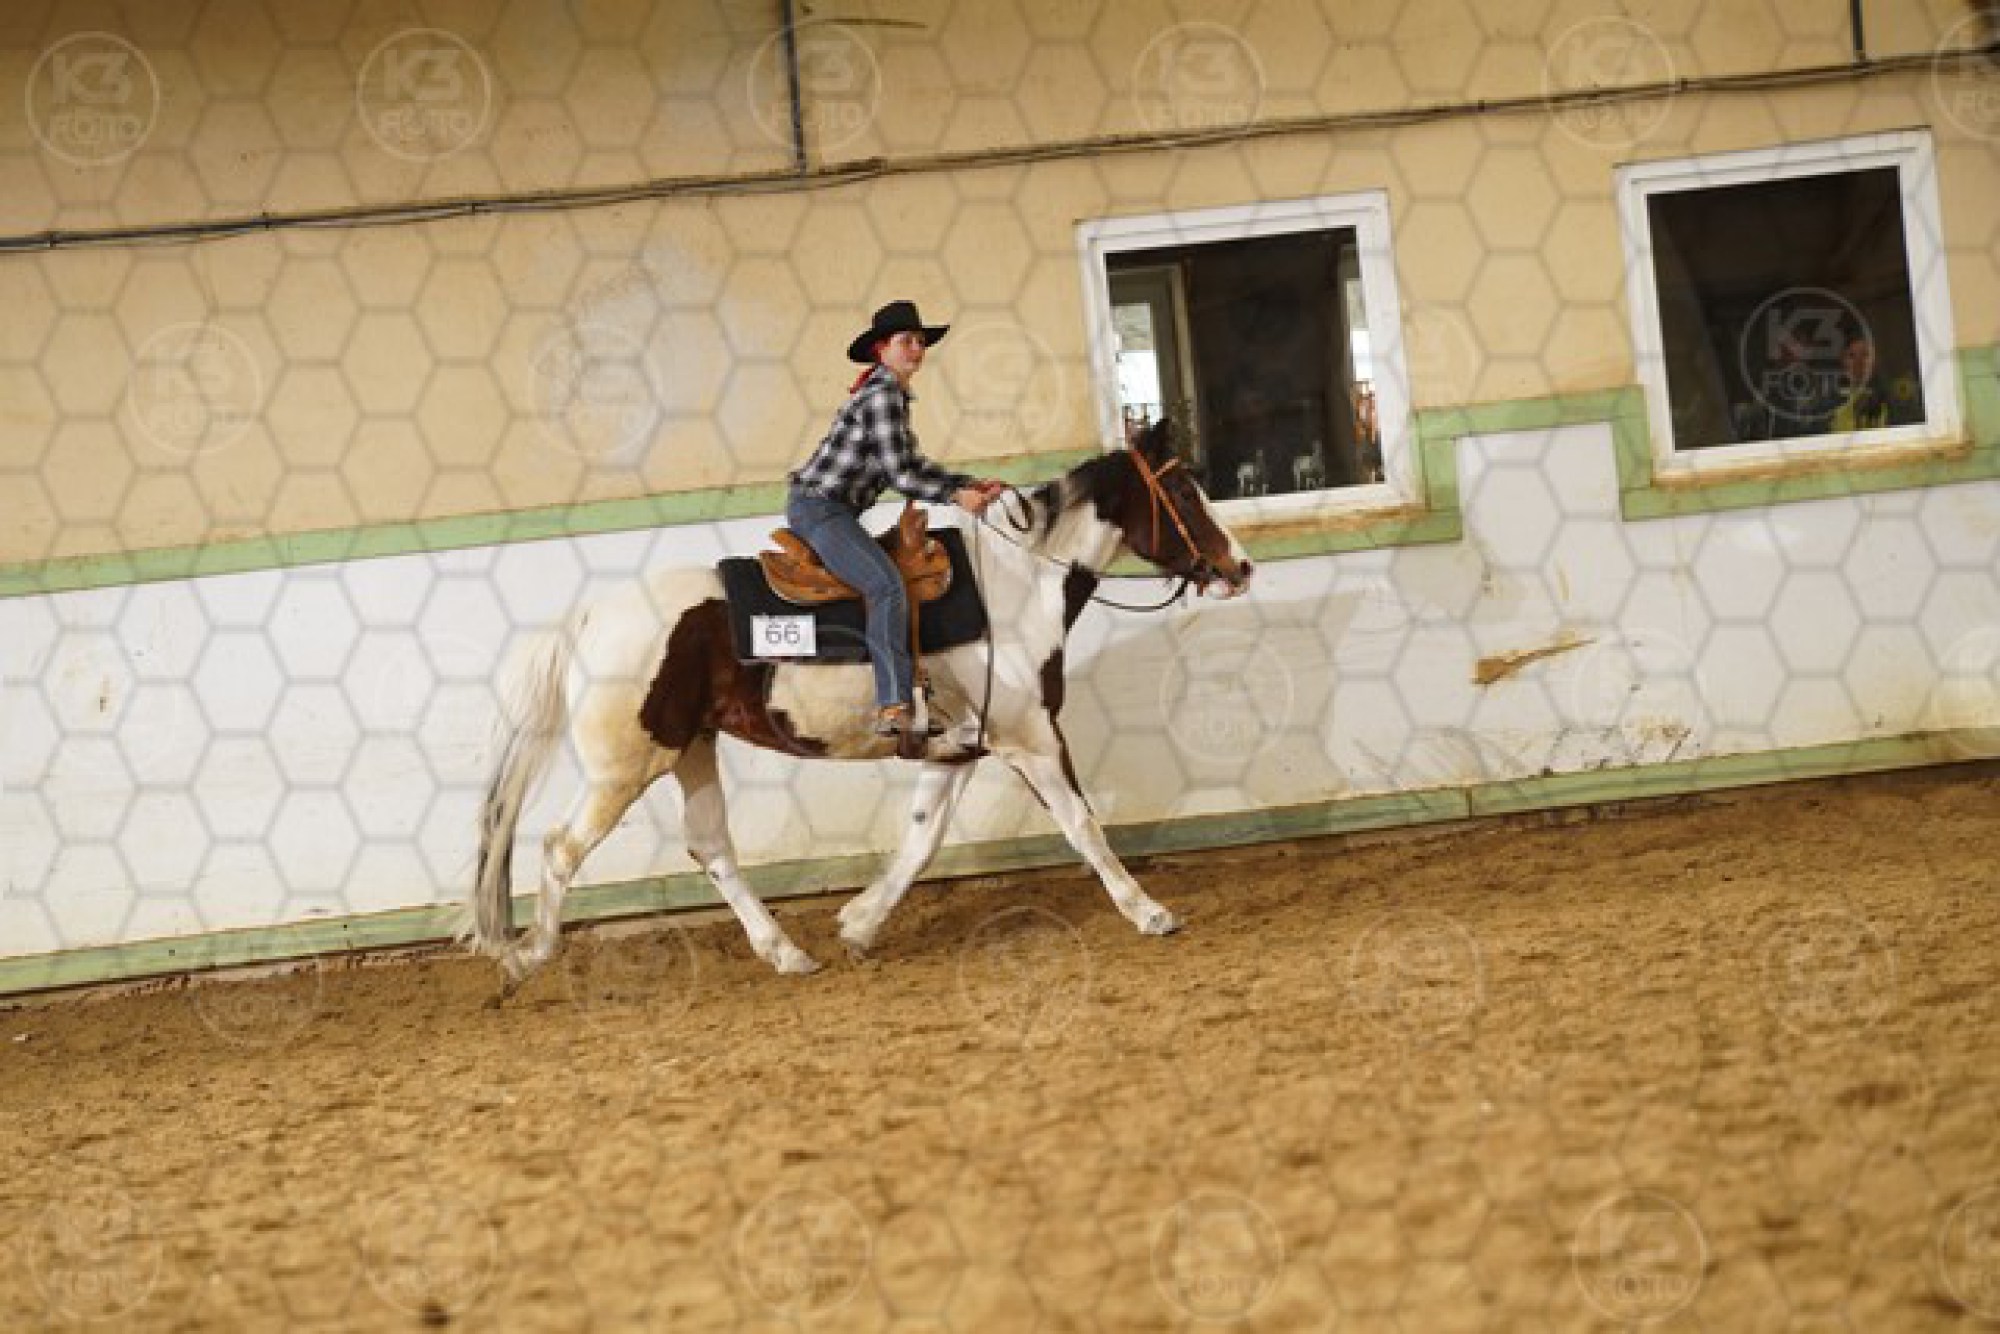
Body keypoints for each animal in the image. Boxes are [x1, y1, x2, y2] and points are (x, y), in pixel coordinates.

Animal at [461, 419, 1255, 983]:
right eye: (1186, 494)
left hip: (691, 749)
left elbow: (921, 839)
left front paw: (859, 923)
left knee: (711, 846)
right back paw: (526, 958)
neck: (1018, 584)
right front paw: (1150, 912)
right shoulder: (1031, 737)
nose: (1240, 567)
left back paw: (787, 953)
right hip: (624, 769)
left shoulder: (959, 747)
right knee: (561, 848)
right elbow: (1084, 826)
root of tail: (588, 618)